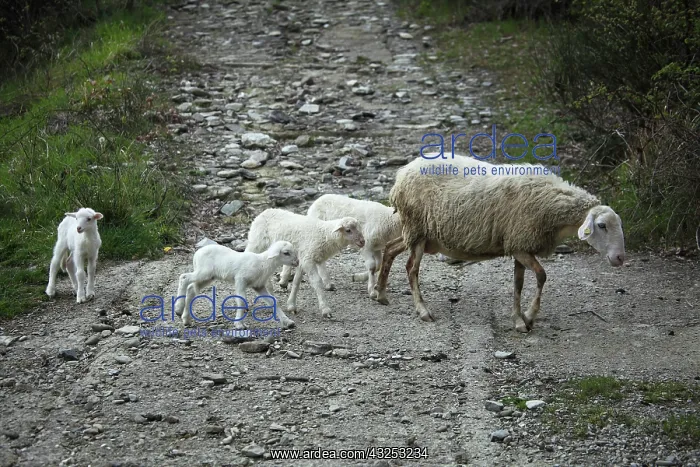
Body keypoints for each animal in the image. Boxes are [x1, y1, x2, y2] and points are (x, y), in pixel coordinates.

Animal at [374, 153, 626, 333]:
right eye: (602, 225)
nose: (620, 258)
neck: (552, 206)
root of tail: (403, 173)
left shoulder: (519, 246)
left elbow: (518, 284)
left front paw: (519, 320)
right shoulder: (521, 243)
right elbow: (542, 276)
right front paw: (529, 316)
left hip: (419, 233)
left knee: (390, 249)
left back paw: (381, 294)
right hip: (416, 227)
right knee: (411, 269)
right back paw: (422, 310)